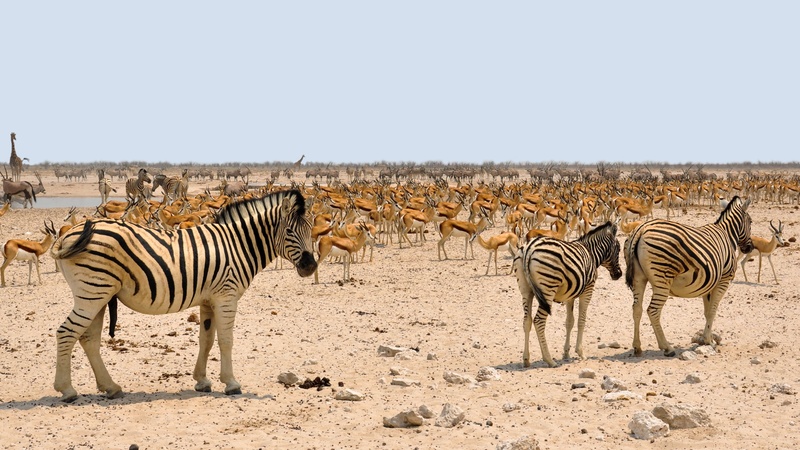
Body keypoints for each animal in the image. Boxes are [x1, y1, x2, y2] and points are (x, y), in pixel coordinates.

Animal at [50, 189, 317, 402]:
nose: (311, 266)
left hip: (99, 294)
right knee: (66, 332)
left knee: (89, 339)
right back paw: (67, 390)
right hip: (93, 291)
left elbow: (206, 339)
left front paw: (202, 381)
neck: (238, 245)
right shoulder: (226, 296)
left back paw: (111, 387)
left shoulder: (209, 299)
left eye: (311, 230)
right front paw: (231, 383)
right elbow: (226, 340)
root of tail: (68, 234)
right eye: (290, 231)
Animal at [513, 221, 622, 368]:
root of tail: (529, 248)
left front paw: (566, 353)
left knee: (527, 321)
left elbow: (569, 322)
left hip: (526, 290)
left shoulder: (569, 295)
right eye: (619, 249)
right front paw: (580, 353)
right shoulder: (588, 290)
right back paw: (549, 360)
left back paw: (526, 359)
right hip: (548, 289)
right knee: (539, 321)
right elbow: (581, 320)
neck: (591, 253)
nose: (619, 274)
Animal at [624, 195, 754, 358]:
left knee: (637, 309)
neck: (727, 235)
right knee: (652, 311)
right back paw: (667, 348)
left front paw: (706, 338)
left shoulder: (708, 284)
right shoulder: (723, 280)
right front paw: (709, 341)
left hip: (638, 278)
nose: (750, 248)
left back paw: (637, 347)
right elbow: (713, 311)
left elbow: (707, 312)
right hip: (662, 279)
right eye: (751, 222)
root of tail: (641, 228)